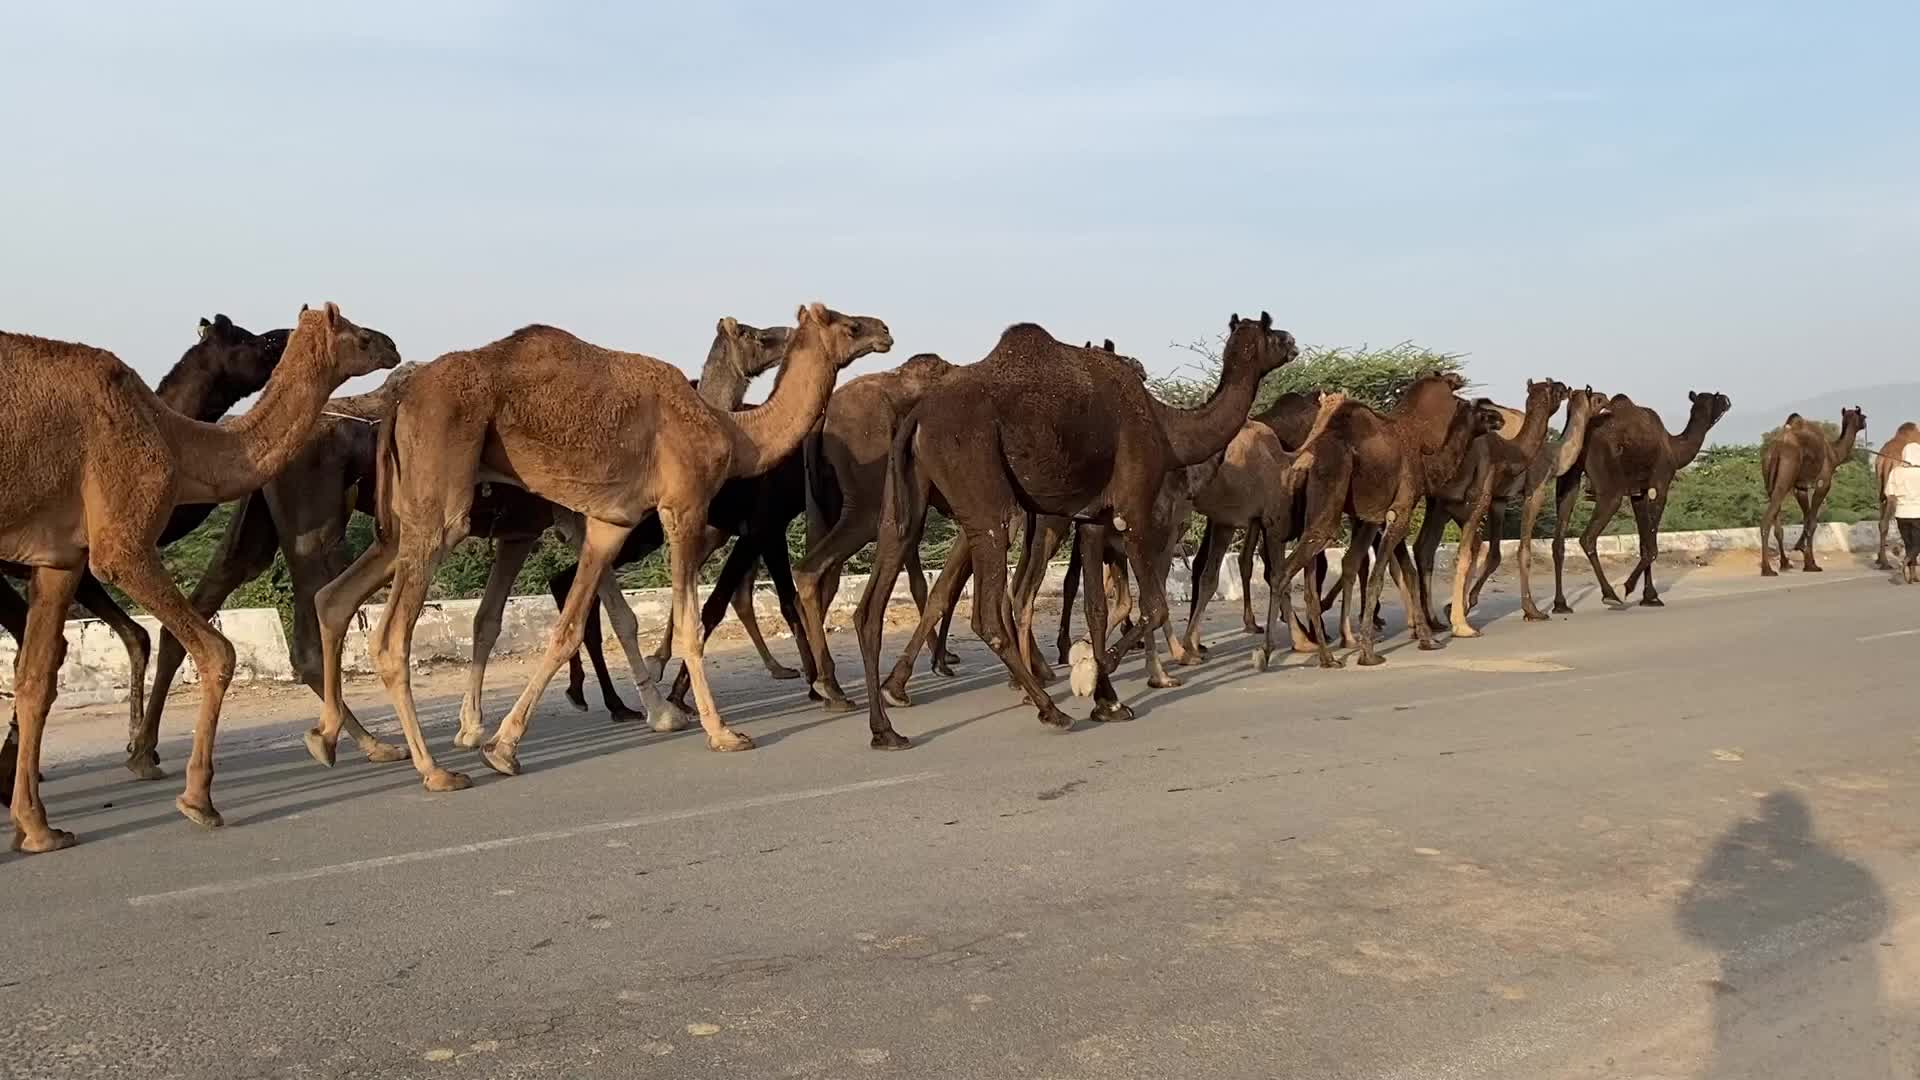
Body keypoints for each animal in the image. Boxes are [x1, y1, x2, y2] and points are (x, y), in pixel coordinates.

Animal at [306, 304, 890, 792]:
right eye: (848, 325)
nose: (884, 330)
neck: (733, 430)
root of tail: (400, 399)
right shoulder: (684, 506)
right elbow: (689, 624)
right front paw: (721, 731)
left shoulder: (610, 522)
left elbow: (572, 628)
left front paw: (504, 747)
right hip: (441, 503)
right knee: (388, 637)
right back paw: (433, 770)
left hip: (406, 519)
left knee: (337, 600)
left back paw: (331, 740)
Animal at [854, 313, 1297, 749]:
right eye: (1272, 331)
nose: (1293, 341)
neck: (1166, 427)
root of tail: (917, 418)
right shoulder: (1133, 510)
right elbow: (1154, 605)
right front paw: (1095, 674)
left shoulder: (1091, 519)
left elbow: (1097, 608)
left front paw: (1107, 699)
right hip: (982, 491)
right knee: (988, 611)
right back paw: (1051, 710)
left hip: (904, 500)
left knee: (872, 604)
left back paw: (885, 729)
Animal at [1410, 379, 1570, 637]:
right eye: (1554, 390)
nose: (1565, 386)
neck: (1508, 451)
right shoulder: (1483, 494)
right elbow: (1467, 554)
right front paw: (1462, 624)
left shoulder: (1488, 500)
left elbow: (1482, 551)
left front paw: (1458, 610)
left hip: (1433, 503)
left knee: (1421, 548)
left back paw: (1429, 622)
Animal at [1550, 391, 1733, 611]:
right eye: (1716, 397)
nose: (1727, 400)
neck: (1674, 448)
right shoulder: (1660, 485)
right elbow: (1652, 546)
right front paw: (1630, 589)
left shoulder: (1638, 492)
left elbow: (1644, 543)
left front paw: (1649, 597)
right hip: (1609, 485)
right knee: (1588, 537)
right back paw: (1611, 594)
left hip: (1568, 473)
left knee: (1558, 540)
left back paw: (1561, 604)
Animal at [1759, 407, 1866, 575]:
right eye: (1863, 416)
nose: (1865, 423)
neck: (1834, 454)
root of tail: (1776, 449)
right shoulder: (1823, 483)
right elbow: (1812, 523)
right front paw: (1811, 565)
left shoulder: (1800, 487)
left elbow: (1807, 519)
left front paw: (1802, 551)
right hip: (1786, 473)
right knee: (1767, 519)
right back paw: (1767, 570)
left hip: (1769, 477)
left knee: (1776, 519)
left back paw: (1784, 564)